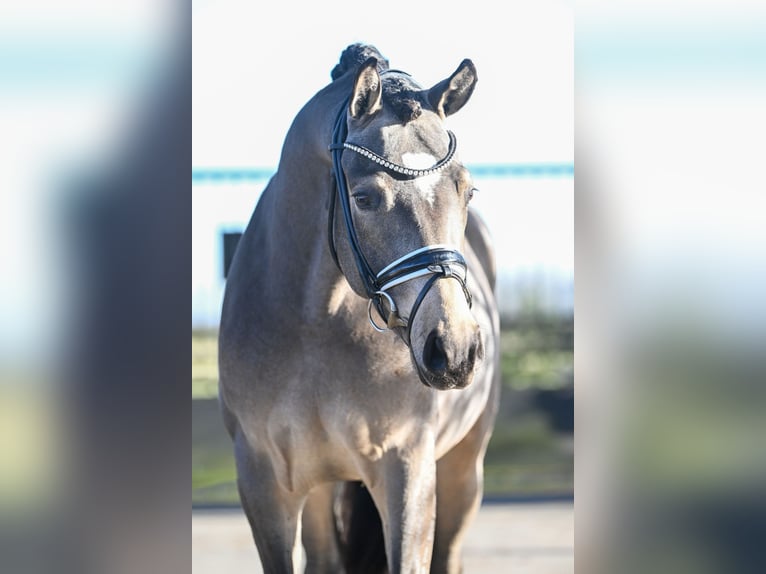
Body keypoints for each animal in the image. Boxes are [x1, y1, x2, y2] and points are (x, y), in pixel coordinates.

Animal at [218, 42, 504, 572]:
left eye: (467, 190)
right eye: (365, 198)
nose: (454, 349)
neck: (314, 325)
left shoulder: (407, 470)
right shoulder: (264, 484)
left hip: (463, 468)